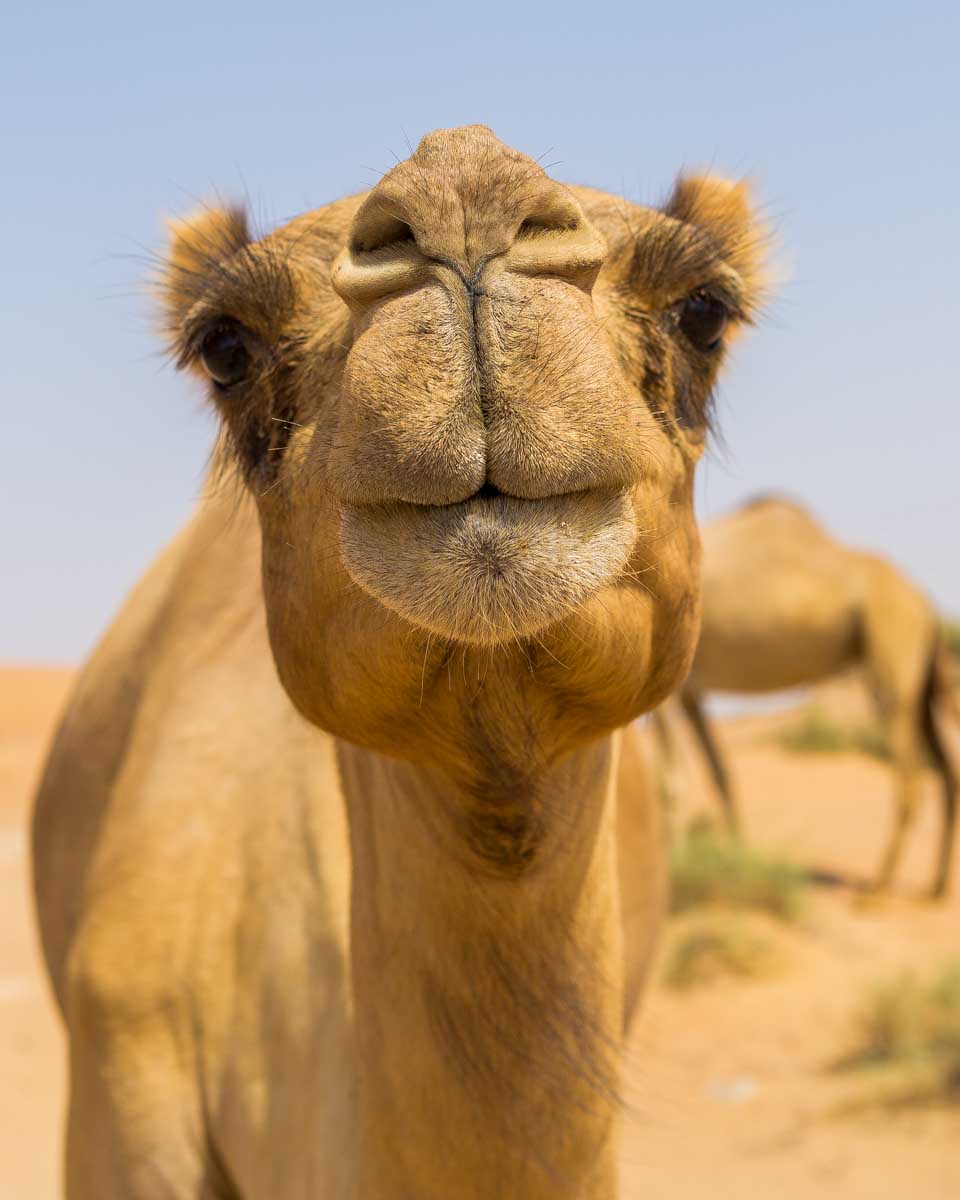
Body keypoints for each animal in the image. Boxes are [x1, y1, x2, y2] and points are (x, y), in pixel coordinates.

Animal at [663, 497, 958, 897]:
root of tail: (925, 603)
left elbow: (670, 780)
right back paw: (936, 886)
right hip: (920, 681)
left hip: (892, 645)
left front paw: (673, 871)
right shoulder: (691, 691)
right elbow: (718, 771)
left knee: (909, 776)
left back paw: (877, 888)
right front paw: (737, 857)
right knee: (946, 769)